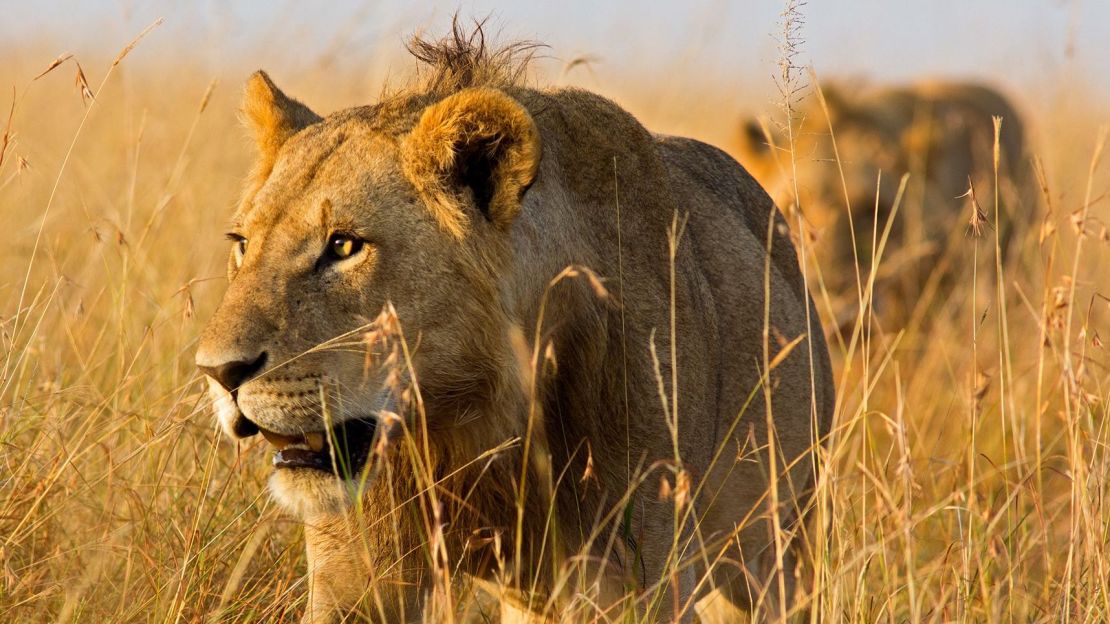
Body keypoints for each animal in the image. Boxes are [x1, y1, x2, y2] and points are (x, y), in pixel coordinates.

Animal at [195, 24, 834, 621]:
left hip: (779, 542)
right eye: (243, 244)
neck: (468, 422)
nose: (219, 373)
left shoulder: (633, 576)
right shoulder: (359, 567)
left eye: (344, 245)